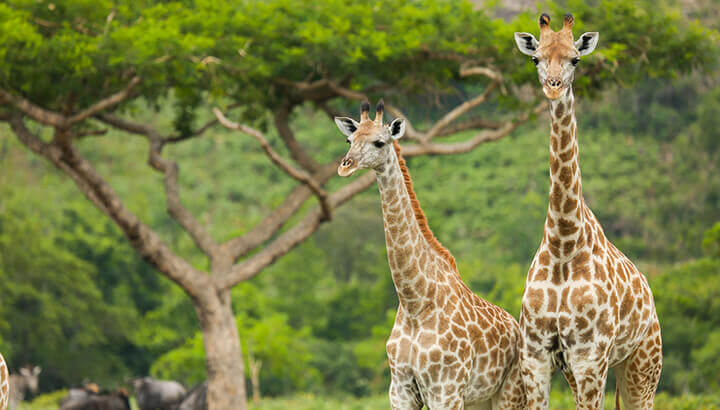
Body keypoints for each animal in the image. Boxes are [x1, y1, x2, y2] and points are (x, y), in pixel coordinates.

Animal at [335, 100, 525, 409]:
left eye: (379, 142)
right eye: (349, 141)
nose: (345, 166)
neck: (414, 301)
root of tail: (518, 327)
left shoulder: (445, 389)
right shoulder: (400, 390)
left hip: (511, 393)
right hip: (479, 400)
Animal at [513, 13, 662, 410]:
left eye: (575, 59)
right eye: (536, 59)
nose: (552, 88)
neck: (563, 243)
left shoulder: (590, 357)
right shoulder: (536, 358)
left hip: (643, 365)